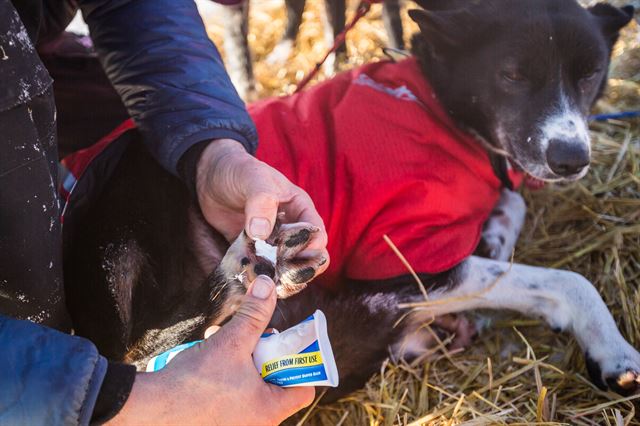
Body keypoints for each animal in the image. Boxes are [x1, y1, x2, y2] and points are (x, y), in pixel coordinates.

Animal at [61, 0, 640, 402]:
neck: (435, 105)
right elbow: (565, 282)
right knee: (141, 354)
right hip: (128, 218)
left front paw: (496, 229)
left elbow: (512, 205)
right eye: (512, 75)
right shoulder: (408, 260)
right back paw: (241, 275)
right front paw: (614, 351)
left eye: (591, 74)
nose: (571, 157)